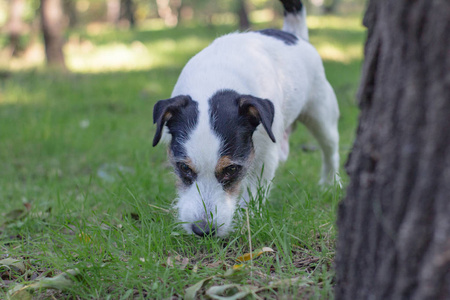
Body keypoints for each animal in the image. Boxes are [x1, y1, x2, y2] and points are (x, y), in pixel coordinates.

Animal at [153, 0, 340, 238]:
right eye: (184, 168)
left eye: (232, 169)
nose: (202, 230)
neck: (215, 78)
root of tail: (293, 33)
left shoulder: (265, 156)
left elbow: (253, 189)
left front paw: (246, 219)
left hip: (321, 113)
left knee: (330, 150)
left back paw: (330, 183)